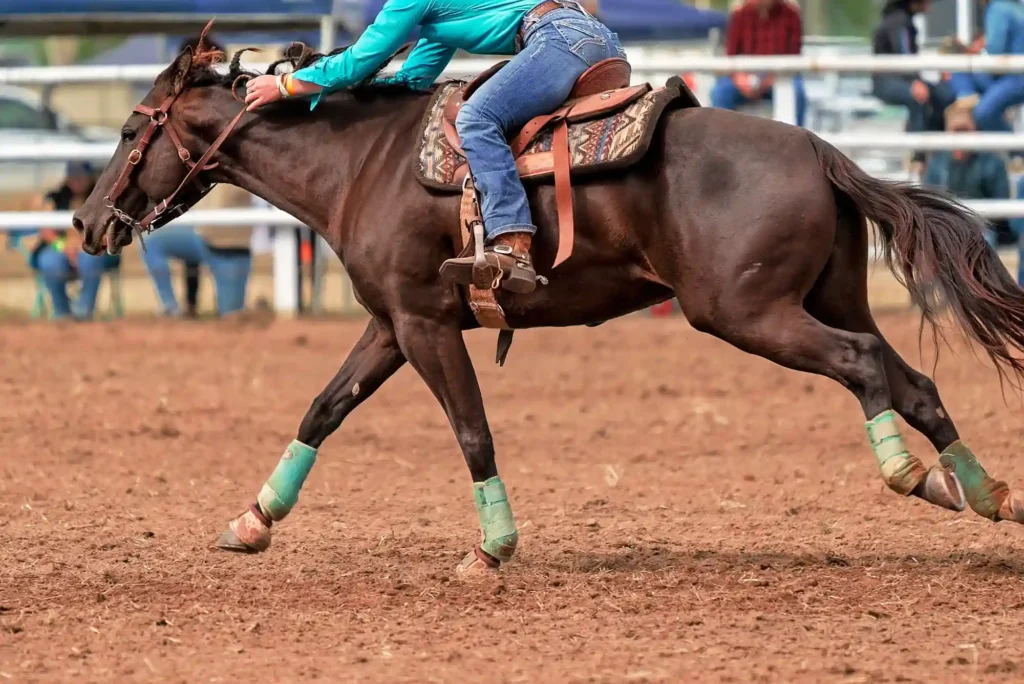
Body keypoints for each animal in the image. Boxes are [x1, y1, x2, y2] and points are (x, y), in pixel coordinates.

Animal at [72, 37, 1024, 573]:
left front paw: (491, 549)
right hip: (830, 297)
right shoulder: (391, 325)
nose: (84, 221)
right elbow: (323, 408)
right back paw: (980, 492)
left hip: (747, 311)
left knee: (864, 369)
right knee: (913, 383)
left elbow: (471, 430)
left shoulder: (425, 325)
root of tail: (822, 150)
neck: (360, 163)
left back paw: (911, 475)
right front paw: (252, 521)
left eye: (127, 130)